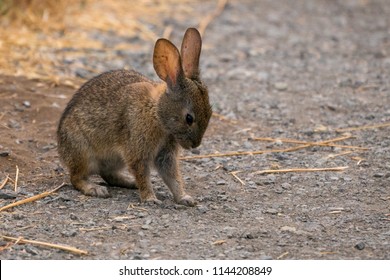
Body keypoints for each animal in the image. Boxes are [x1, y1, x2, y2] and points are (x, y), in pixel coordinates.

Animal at [56, 27, 212, 206]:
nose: (195, 145)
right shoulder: (137, 150)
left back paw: (129, 182)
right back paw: (95, 189)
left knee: (107, 174)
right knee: (76, 178)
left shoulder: (165, 154)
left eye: (210, 112)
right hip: (82, 151)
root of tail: (61, 146)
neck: (156, 114)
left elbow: (172, 177)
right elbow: (142, 173)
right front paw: (151, 199)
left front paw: (185, 198)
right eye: (189, 118)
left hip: (114, 160)